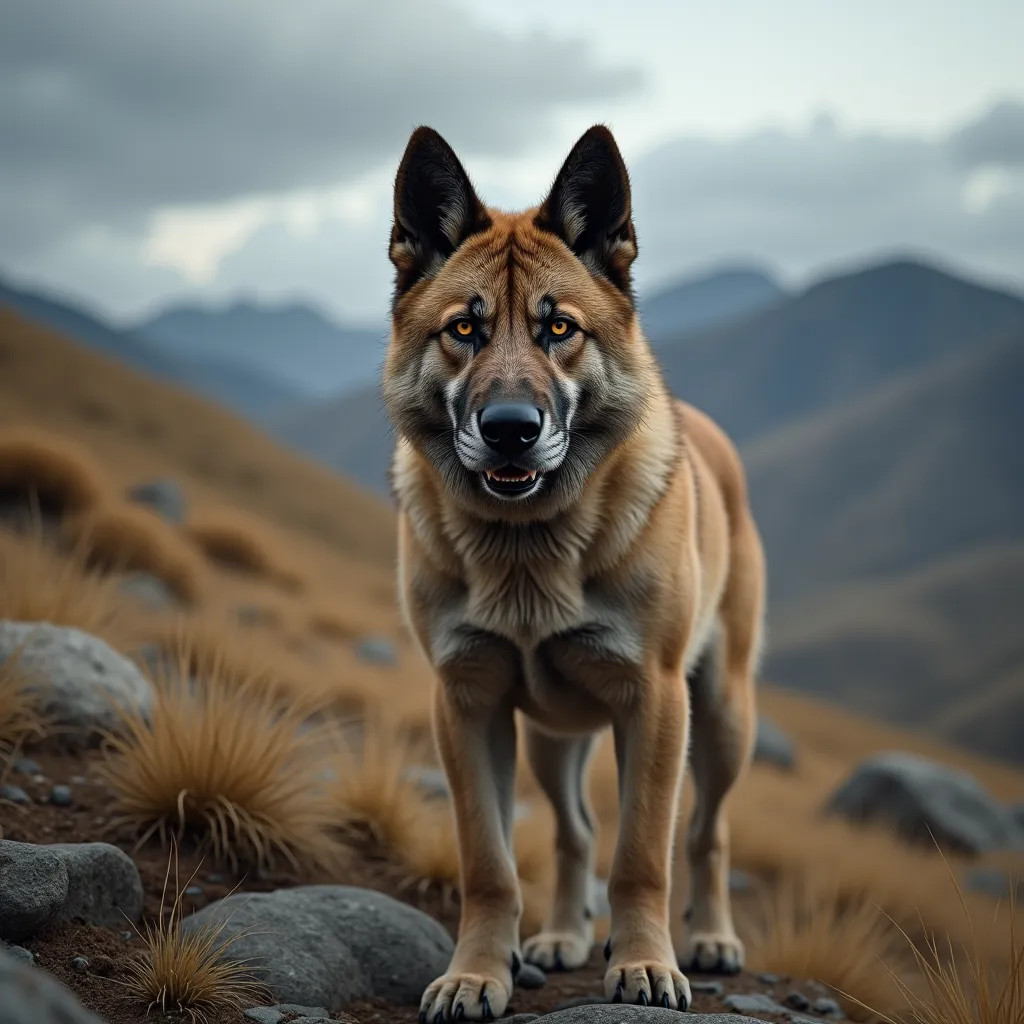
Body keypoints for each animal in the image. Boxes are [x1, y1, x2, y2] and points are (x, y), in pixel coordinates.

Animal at [380, 123, 765, 1019]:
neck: (527, 548)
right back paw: (560, 935)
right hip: (554, 739)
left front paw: (648, 964)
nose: (510, 429)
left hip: (723, 715)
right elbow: (490, 864)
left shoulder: (655, 705)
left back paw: (711, 937)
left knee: (709, 830)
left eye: (559, 329)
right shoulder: (468, 704)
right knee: (573, 830)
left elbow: (644, 856)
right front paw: (478, 973)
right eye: (464, 330)